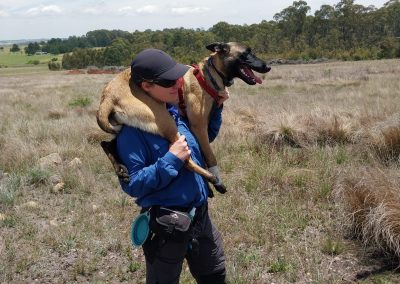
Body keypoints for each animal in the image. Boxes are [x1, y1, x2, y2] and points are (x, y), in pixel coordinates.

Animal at [97, 41, 272, 193]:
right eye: (246, 53)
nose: (268, 66)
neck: (208, 74)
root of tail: (107, 96)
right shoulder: (199, 126)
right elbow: (210, 157)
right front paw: (216, 177)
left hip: (126, 125)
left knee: (106, 144)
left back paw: (120, 169)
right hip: (165, 120)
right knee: (185, 159)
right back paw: (211, 178)